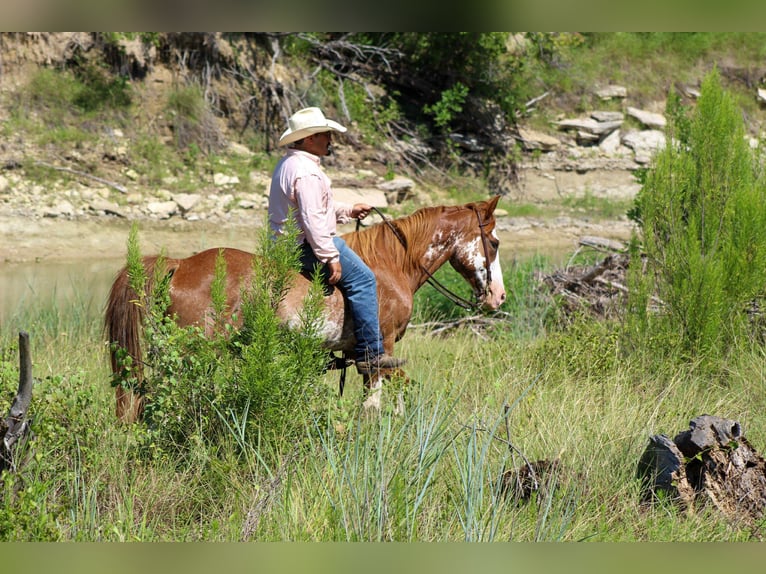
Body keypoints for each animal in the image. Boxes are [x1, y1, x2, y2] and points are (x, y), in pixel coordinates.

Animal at [105, 196, 506, 422]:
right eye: (495, 242)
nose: (499, 297)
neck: (392, 264)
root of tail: (180, 264)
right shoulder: (383, 346)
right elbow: (384, 398)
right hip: (196, 352)